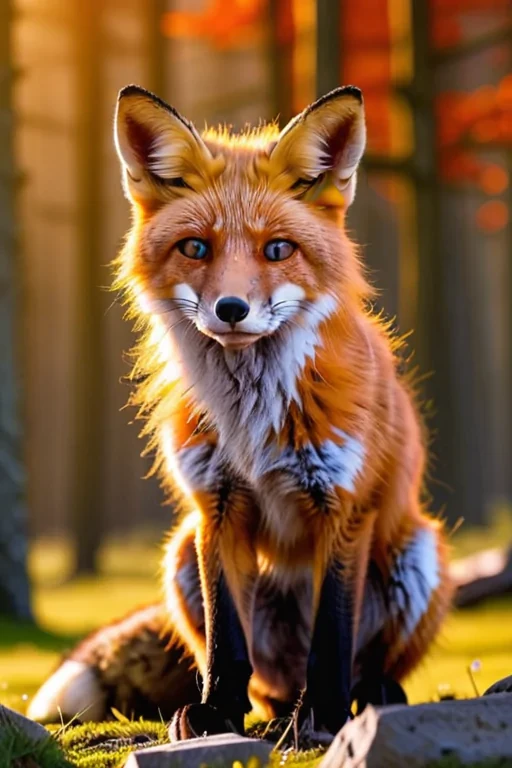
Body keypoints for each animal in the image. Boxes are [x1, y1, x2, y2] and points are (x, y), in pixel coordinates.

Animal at [28, 84, 454, 740]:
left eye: (277, 249)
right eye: (195, 247)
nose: (230, 309)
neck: (251, 417)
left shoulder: (342, 507)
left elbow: (330, 639)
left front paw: (322, 719)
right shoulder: (217, 504)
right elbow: (226, 643)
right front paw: (215, 716)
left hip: (418, 554)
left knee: (365, 664)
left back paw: (371, 696)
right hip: (181, 554)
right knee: (263, 682)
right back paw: (271, 711)